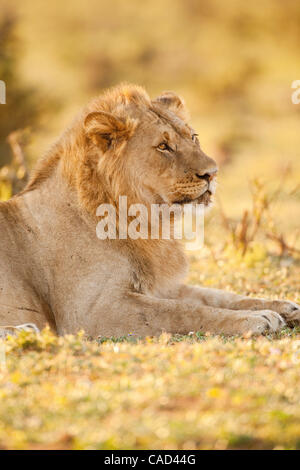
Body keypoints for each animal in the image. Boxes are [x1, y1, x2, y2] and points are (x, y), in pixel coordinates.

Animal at [0, 83, 300, 334]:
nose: (212, 173)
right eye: (163, 146)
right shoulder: (91, 311)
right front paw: (257, 318)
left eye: (193, 137)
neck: (147, 222)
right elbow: (183, 311)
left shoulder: (160, 284)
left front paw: (283, 306)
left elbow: (215, 295)